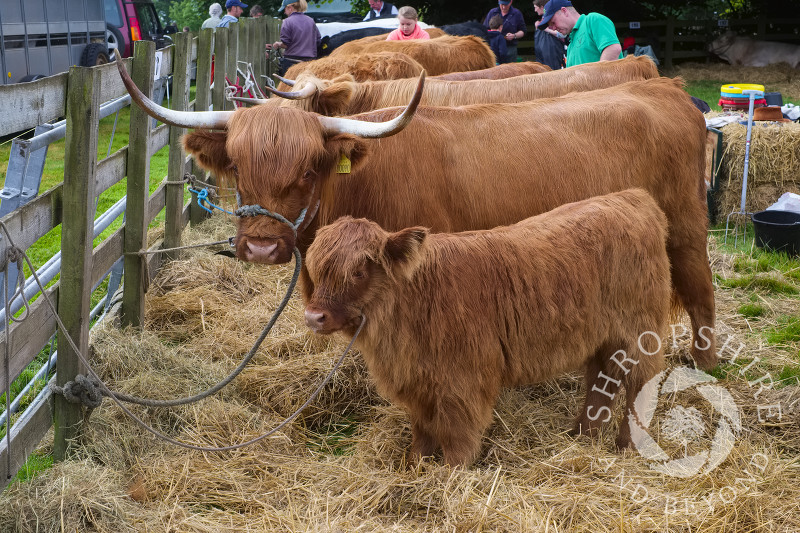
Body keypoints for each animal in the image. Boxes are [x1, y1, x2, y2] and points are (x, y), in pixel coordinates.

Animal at [117, 62, 720, 370]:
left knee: (701, 294)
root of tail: (664, 89)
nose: (262, 247)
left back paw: (705, 364)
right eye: (239, 166)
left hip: (688, 231)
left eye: (310, 168)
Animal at [304, 190, 672, 466]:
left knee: (639, 381)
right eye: (317, 269)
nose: (313, 316)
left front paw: (449, 475)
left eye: (358, 272)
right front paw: (415, 466)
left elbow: (458, 434)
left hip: (639, 331)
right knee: (602, 377)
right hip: (602, 336)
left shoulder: (463, 380)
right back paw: (582, 434)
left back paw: (627, 445)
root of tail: (631, 197)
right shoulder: (418, 381)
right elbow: (422, 430)